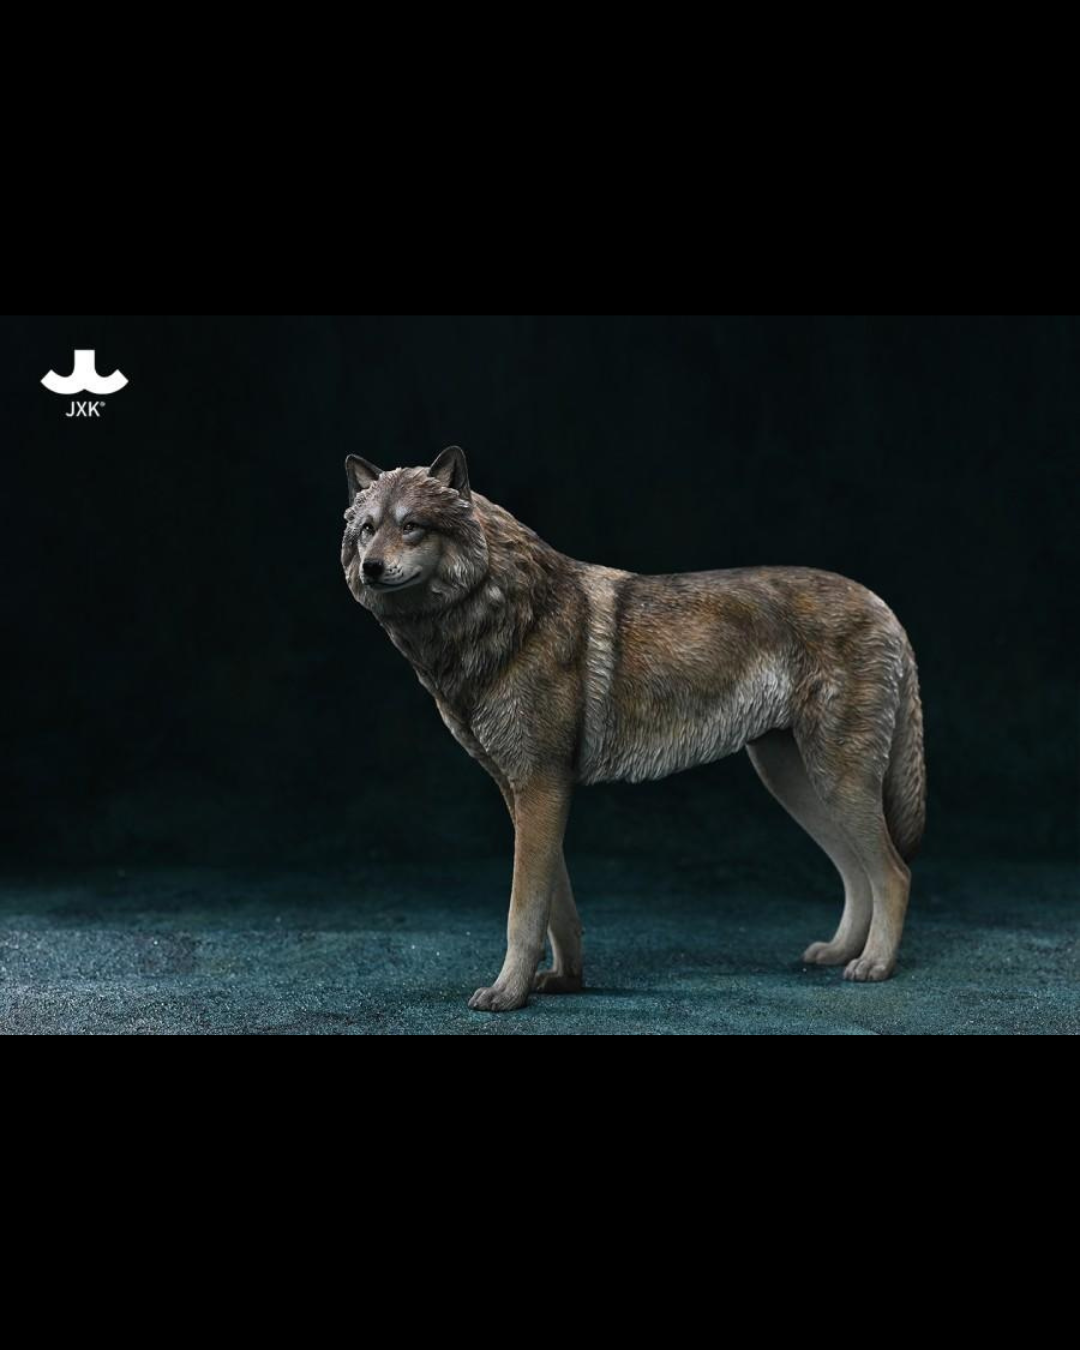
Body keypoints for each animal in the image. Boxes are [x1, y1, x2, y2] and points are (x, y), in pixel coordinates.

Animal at [341, 446, 927, 1012]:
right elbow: (557, 908)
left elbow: (523, 912)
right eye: (368, 528)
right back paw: (840, 952)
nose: (371, 568)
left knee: (893, 873)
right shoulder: (523, 793)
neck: (505, 617)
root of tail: (883, 606)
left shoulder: (541, 788)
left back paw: (874, 965)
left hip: (836, 781)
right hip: (796, 784)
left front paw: (507, 995)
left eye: (412, 526)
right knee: (856, 871)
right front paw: (563, 981)